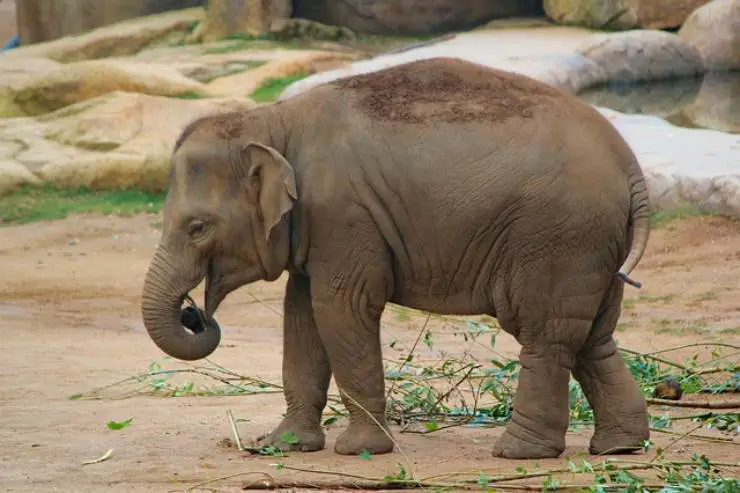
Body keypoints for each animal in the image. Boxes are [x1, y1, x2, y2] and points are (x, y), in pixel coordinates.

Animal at [140, 57, 651, 460]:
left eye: (197, 227)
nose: (194, 313)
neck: (271, 121)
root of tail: (630, 166)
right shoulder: (319, 227)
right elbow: (301, 315)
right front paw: (281, 445)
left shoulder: (343, 213)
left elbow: (341, 308)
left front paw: (360, 450)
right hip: (592, 244)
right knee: (592, 335)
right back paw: (619, 447)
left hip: (558, 236)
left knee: (544, 332)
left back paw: (518, 452)